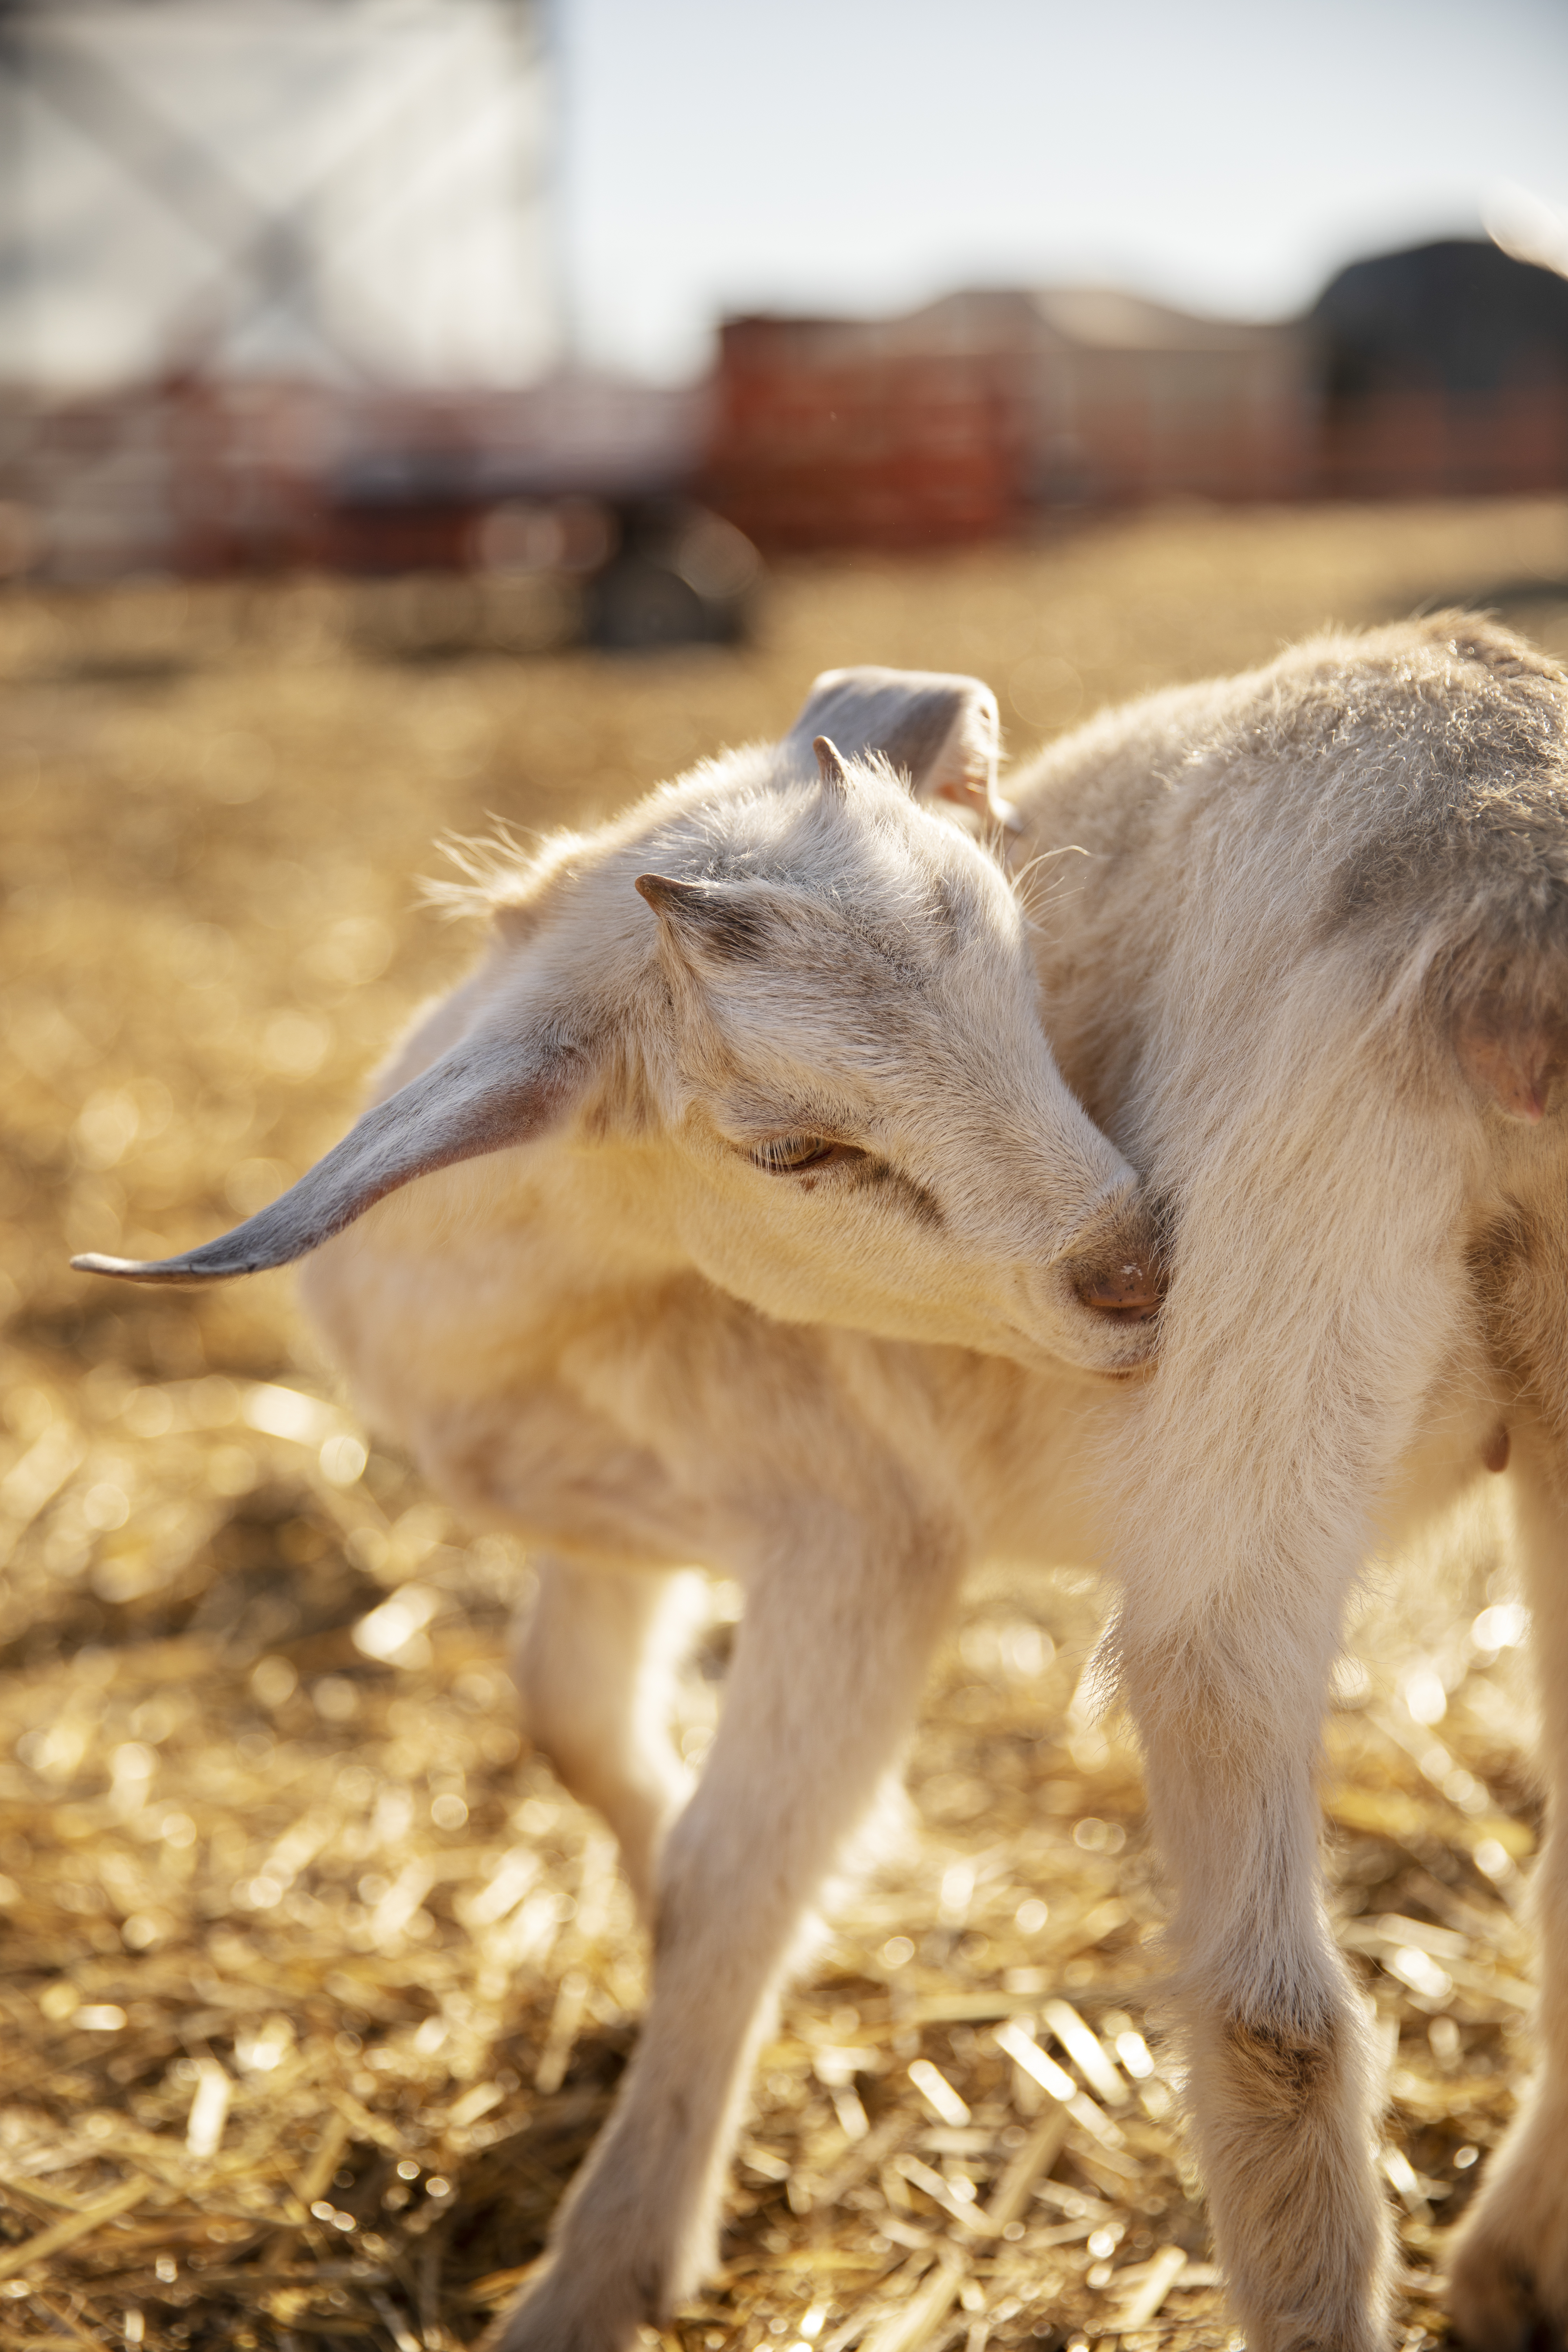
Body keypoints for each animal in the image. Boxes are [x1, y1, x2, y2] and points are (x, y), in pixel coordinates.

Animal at [74, 617, 1568, 2352]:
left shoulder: (855, 1537)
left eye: (1020, 970)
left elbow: (734, 1875)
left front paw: (609, 2261)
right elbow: (566, 1708)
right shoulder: (627, 1528)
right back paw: (1505, 2268)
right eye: (790, 1150)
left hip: (1260, 1408)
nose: (1135, 1270)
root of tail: (1508, 880)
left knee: (1274, 2016)